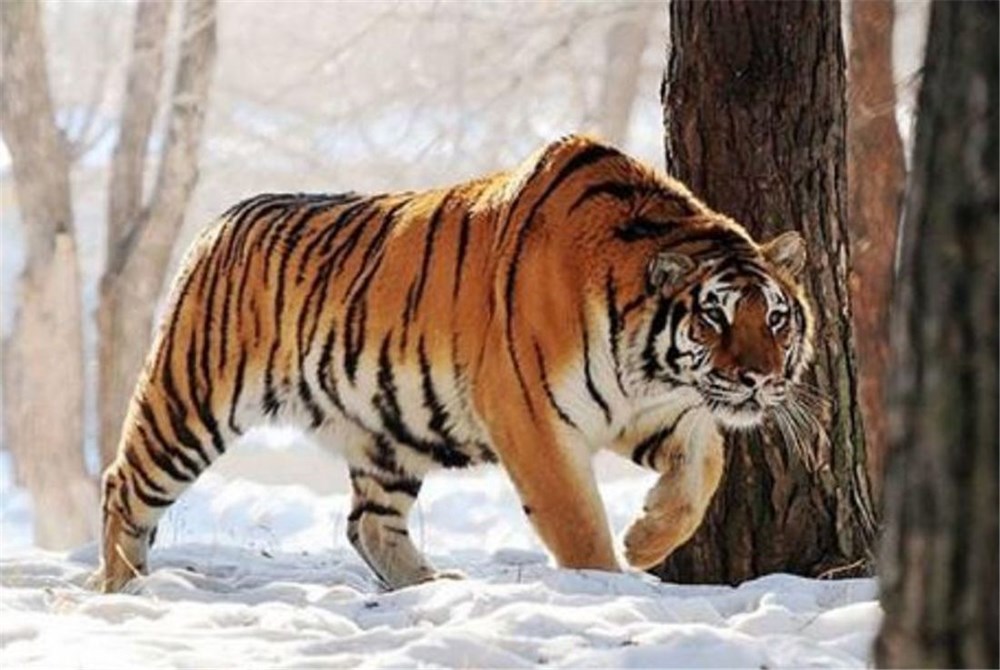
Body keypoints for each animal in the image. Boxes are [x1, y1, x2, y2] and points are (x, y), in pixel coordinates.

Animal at [92, 134, 815, 593]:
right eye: (714, 316)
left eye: (776, 319)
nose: (758, 379)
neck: (650, 365)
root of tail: (221, 218)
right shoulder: (531, 415)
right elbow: (576, 519)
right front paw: (607, 586)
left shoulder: (656, 408)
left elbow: (704, 466)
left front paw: (645, 538)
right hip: (189, 402)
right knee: (122, 483)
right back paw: (123, 586)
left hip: (387, 433)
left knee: (368, 524)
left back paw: (430, 587)